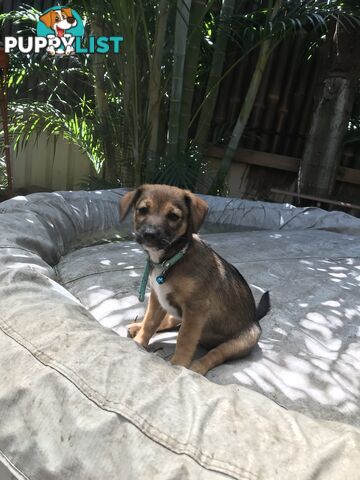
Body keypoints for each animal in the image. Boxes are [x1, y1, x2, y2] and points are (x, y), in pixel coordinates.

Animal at [119, 184, 268, 376]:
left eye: (173, 216)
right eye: (143, 210)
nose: (150, 234)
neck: (171, 260)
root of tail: (255, 317)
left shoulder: (195, 308)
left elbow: (185, 338)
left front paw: (178, 364)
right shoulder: (157, 299)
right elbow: (150, 322)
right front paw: (139, 342)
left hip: (243, 339)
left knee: (217, 353)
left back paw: (198, 367)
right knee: (169, 321)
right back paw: (136, 326)